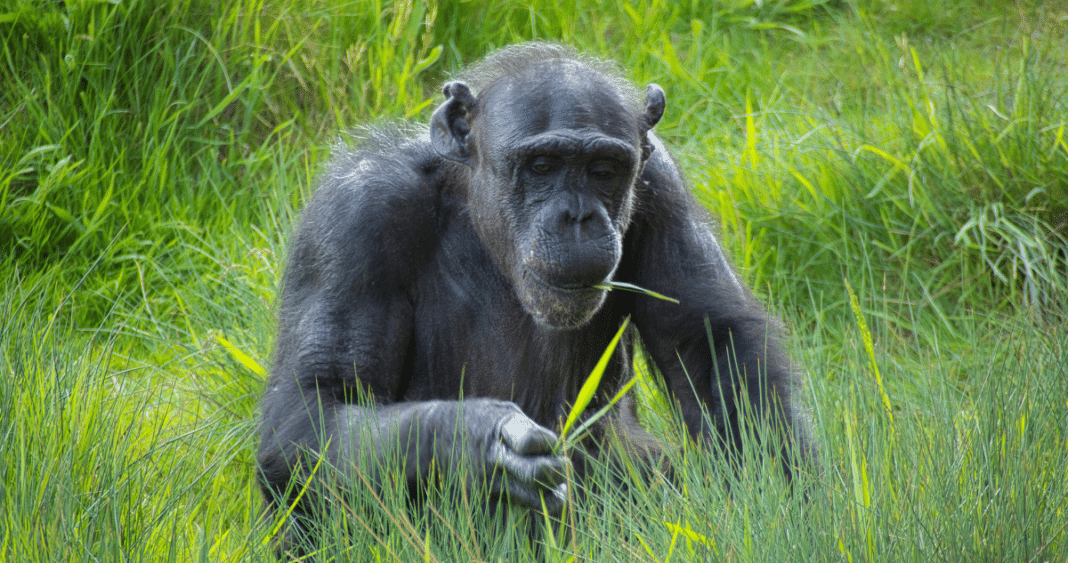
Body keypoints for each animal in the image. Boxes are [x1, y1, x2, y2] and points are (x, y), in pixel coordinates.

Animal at [256, 42, 807, 555]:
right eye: (542, 165)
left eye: (604, 169)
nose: (578, 216)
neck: (474, 207)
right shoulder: (356, 217)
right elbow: (318, 398)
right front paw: (481, 442)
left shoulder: (662, 185)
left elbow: (712, 344)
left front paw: (782, 515)